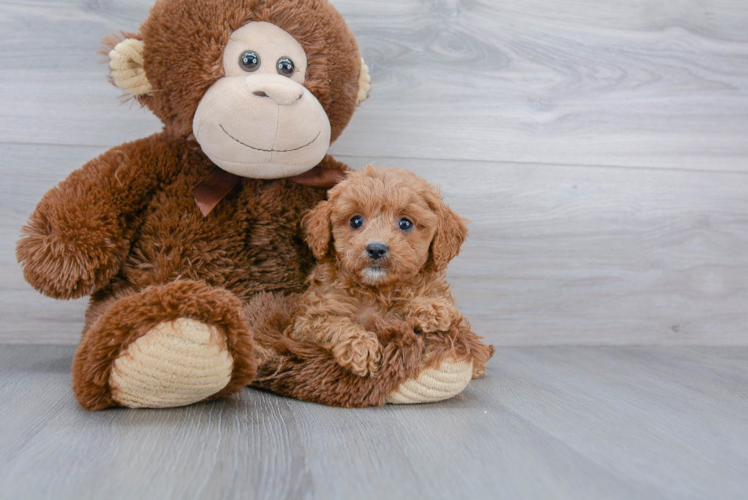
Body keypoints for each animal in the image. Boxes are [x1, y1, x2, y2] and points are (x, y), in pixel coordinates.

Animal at [290, 166, 494, 376]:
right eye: (355, 221)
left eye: (405, 223)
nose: (376, 249)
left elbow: (431, 296)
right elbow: (333, 323)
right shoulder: (309, 320)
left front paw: (431, 307)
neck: (380, 290)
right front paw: (361, 347)